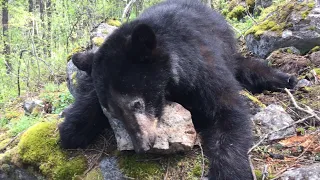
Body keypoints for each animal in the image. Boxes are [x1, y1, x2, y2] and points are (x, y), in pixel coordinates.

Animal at [59, 0, 296, 179]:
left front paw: (229, 171)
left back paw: (284, 78)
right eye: (113, 113)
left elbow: (228, 110)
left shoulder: (202, 69)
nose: (142, 147)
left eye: (137, 103)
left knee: (244, 65)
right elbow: (90, 92)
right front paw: (73, 128)